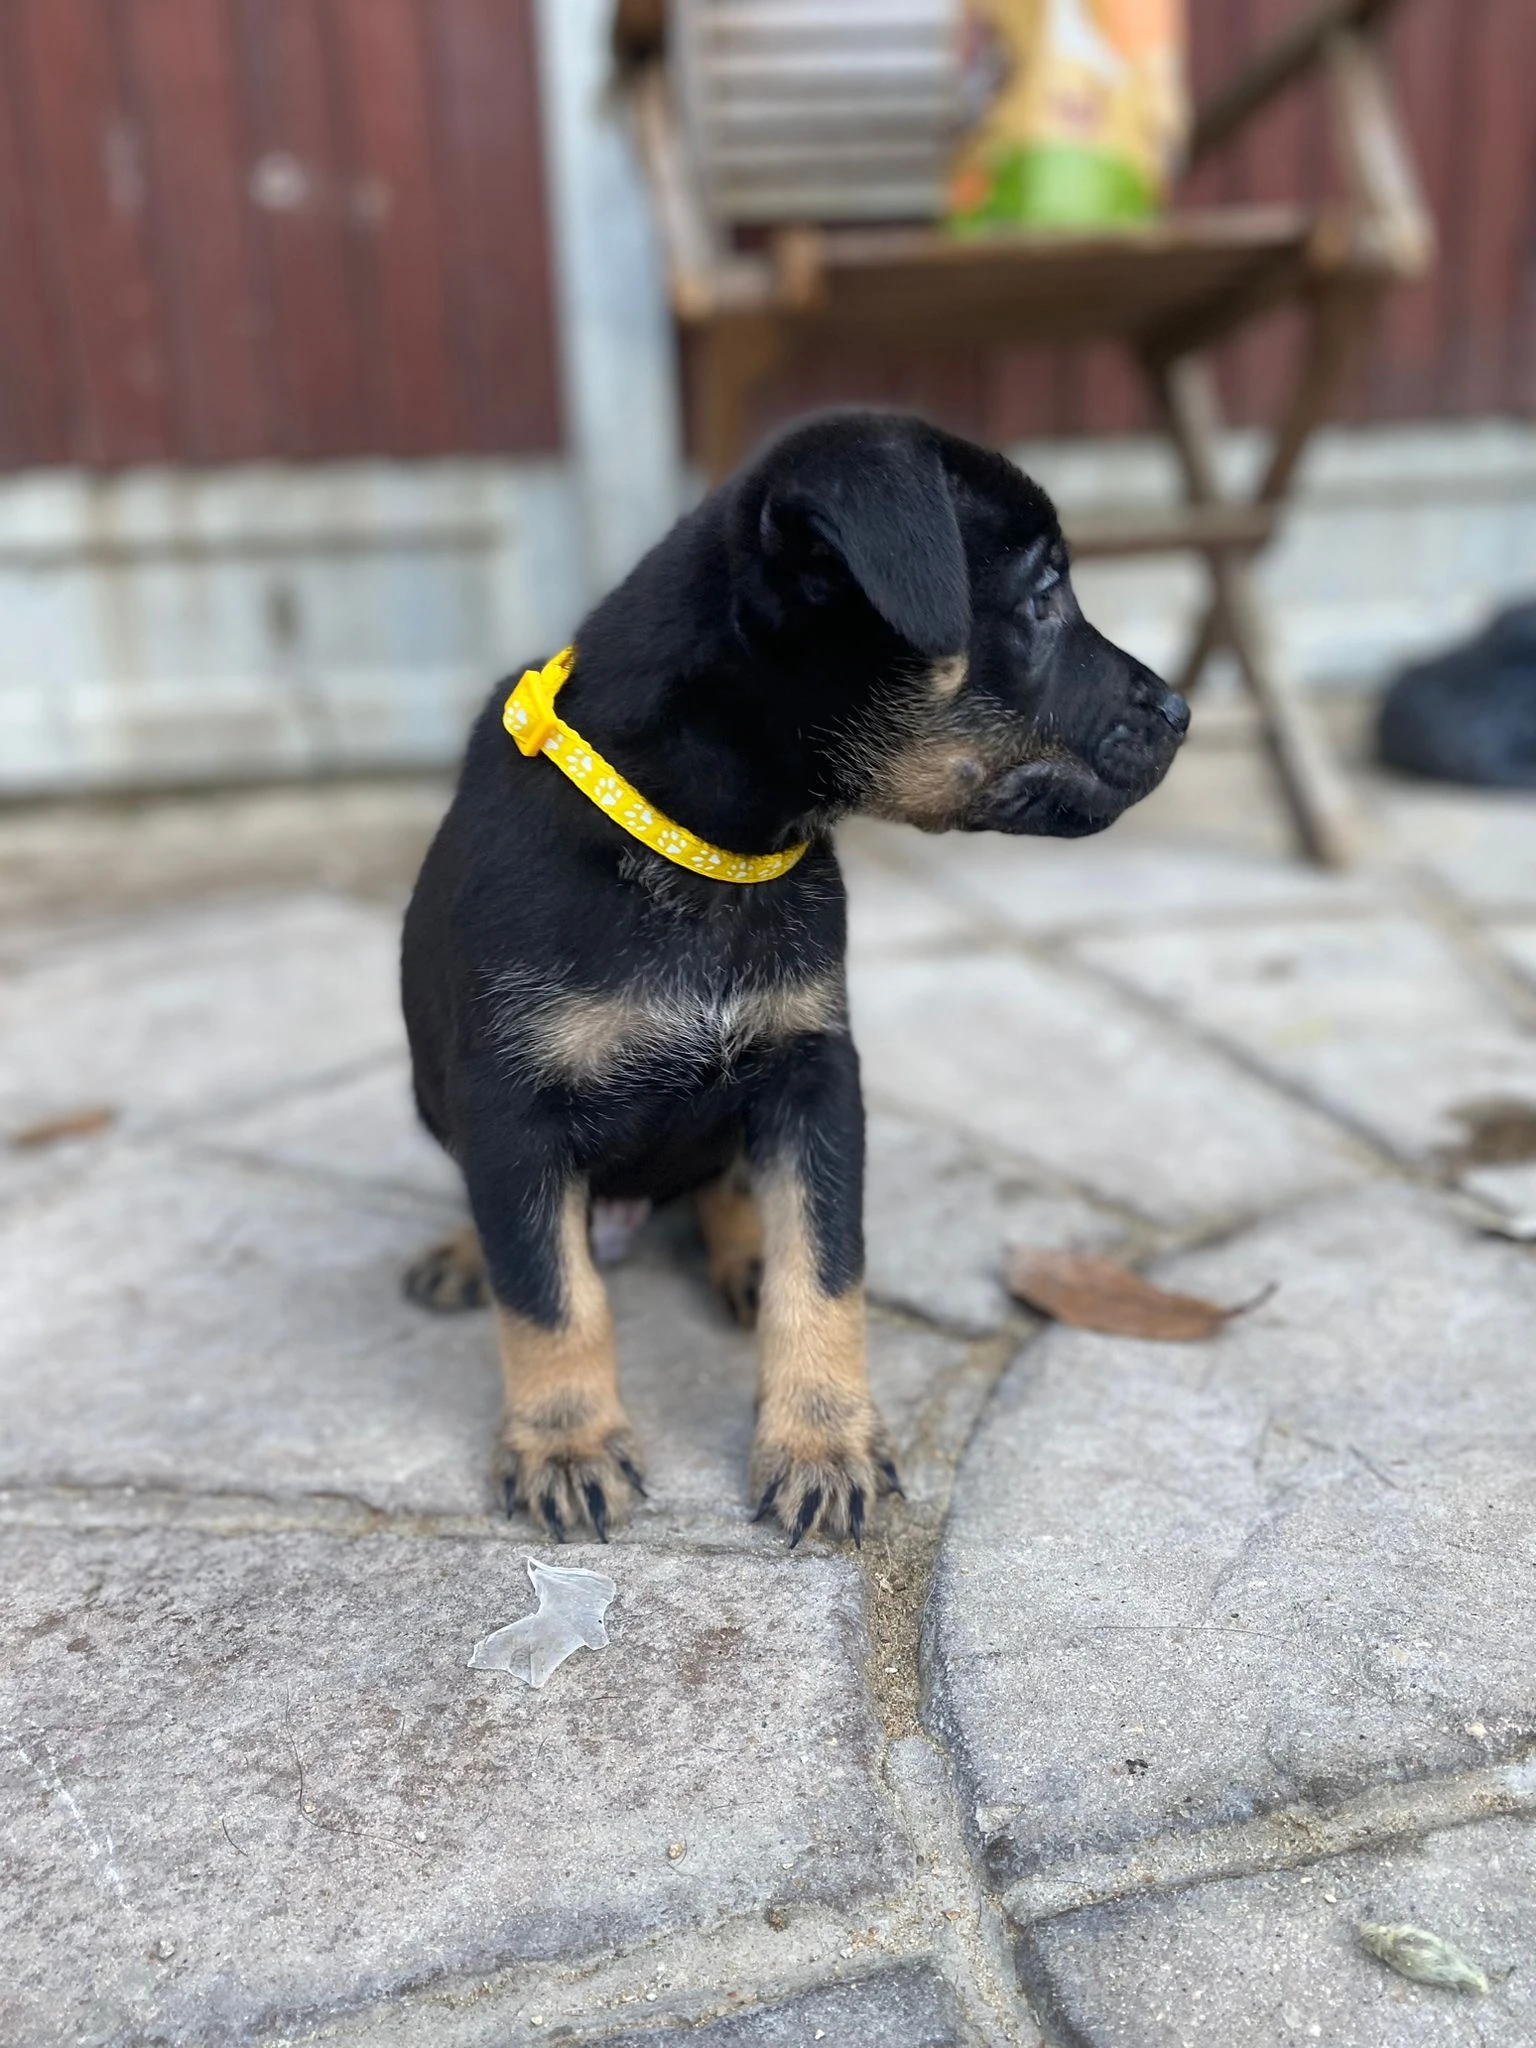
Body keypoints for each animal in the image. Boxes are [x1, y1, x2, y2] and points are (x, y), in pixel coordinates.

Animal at [399, 407, 1187, 1540]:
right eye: (1043, 596)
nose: (1180, 709)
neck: (694, 847)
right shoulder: (514, 1107)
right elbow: (550, 1293)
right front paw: (566, 1440)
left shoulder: (812, 1073)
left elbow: (822, 1265)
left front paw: (820, 1440)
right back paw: (468, 1251)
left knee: (728, 1189)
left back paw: (740, 1256)